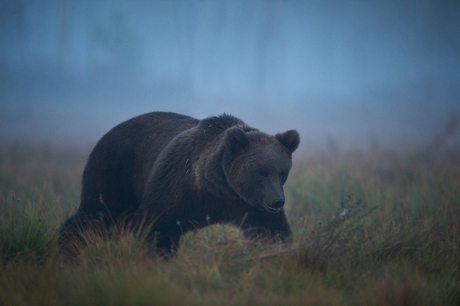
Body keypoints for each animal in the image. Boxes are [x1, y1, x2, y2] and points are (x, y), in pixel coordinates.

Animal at [57, 112, 300, 256]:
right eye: (261, 172)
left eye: (282, 172)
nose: (278, 201)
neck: (215, 187)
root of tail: (105, 135)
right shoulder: (176, 189)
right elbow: (157, 227)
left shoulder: (247, 205)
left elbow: (270, 230)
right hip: (114, 173)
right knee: (97, 212)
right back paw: (67, 247)